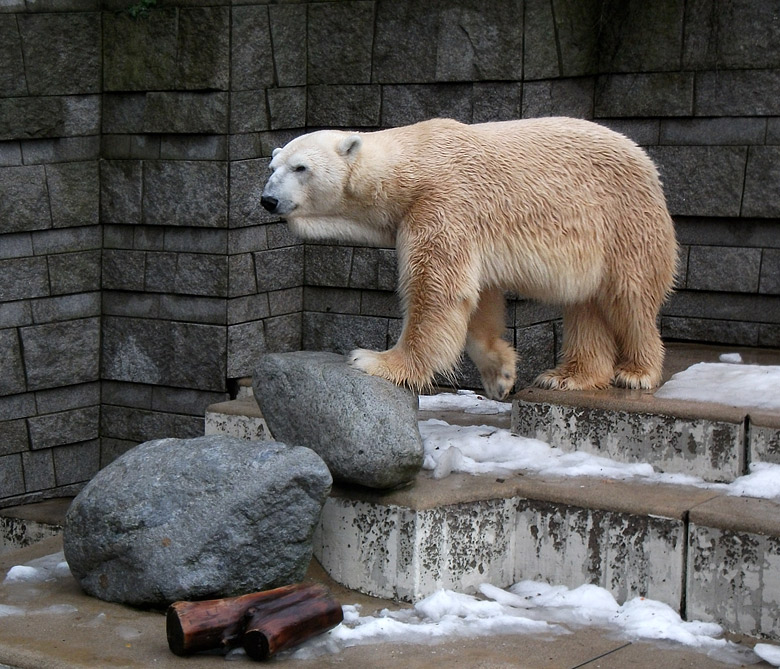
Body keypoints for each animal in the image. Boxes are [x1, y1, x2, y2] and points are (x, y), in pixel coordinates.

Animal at [260, 117, 676, 400]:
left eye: (301, 167)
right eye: (272, 168)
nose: (268, 199)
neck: (410, 166)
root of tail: (646, 162)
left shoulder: (442, 203)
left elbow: (435, 290)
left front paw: (376, 360)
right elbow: (478, 298)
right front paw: (500, 375)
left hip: (621, 220)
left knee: (629, 295)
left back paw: (636, 372)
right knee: (585, 302)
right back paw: (569, 376)